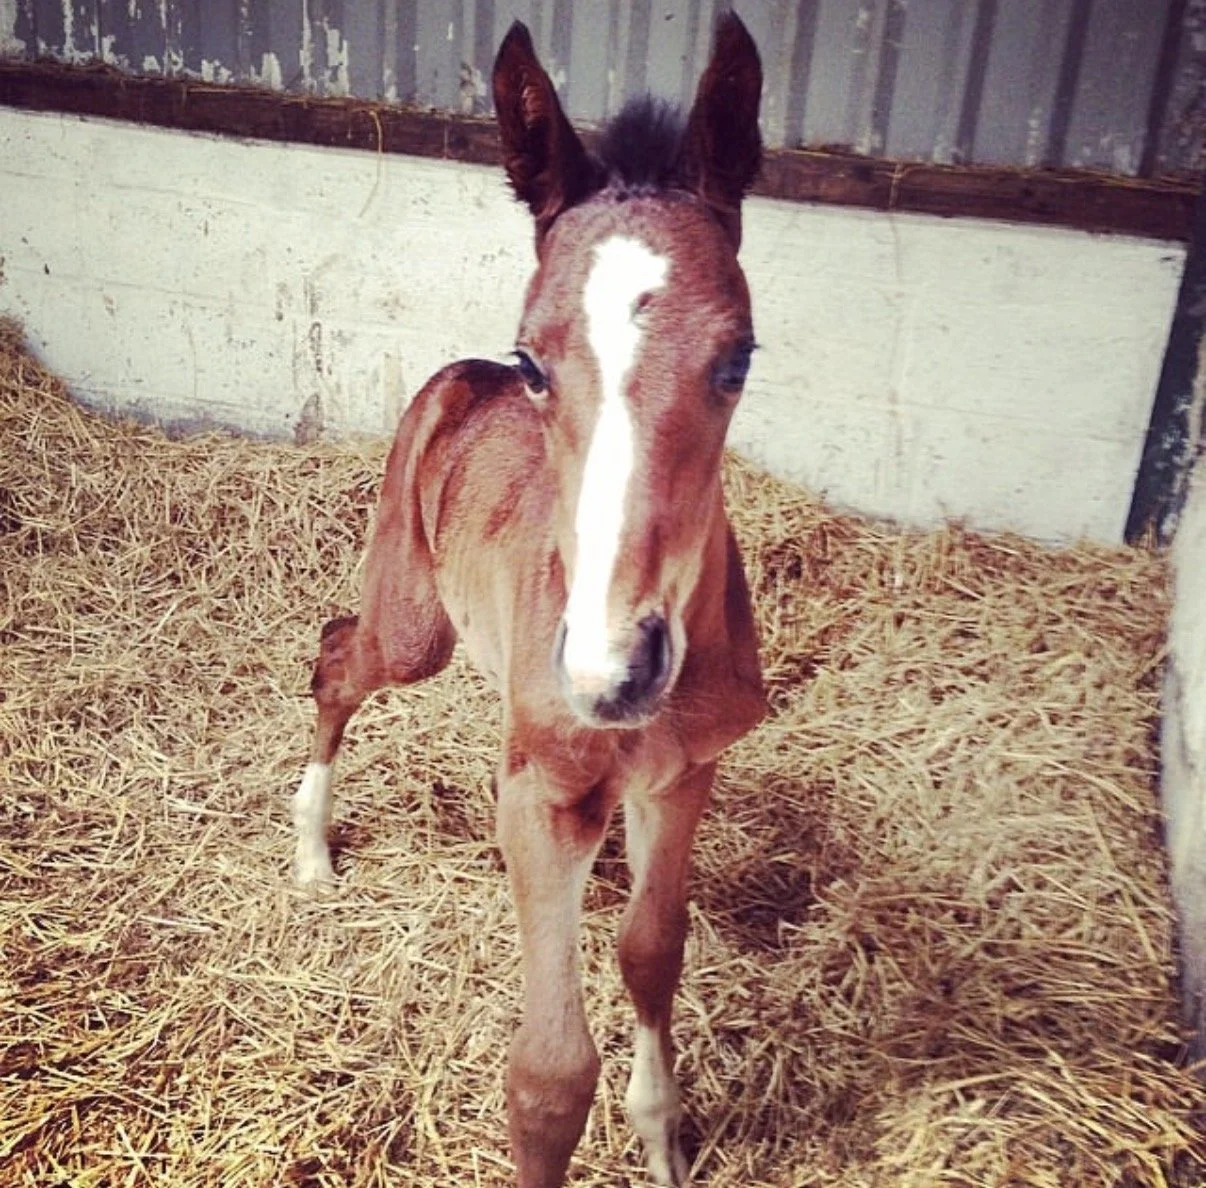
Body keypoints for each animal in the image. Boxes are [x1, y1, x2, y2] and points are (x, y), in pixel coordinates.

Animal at [291, 14, 767, 1185]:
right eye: (538, 360)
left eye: (738, 358)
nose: (612, 670)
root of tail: (465, 376)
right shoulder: (548, 802)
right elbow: (548, 1081)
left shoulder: (682, 774)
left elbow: (651, 951)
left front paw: (663, 1139)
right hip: (411, 623)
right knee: (337, 655)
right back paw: (311, 850)